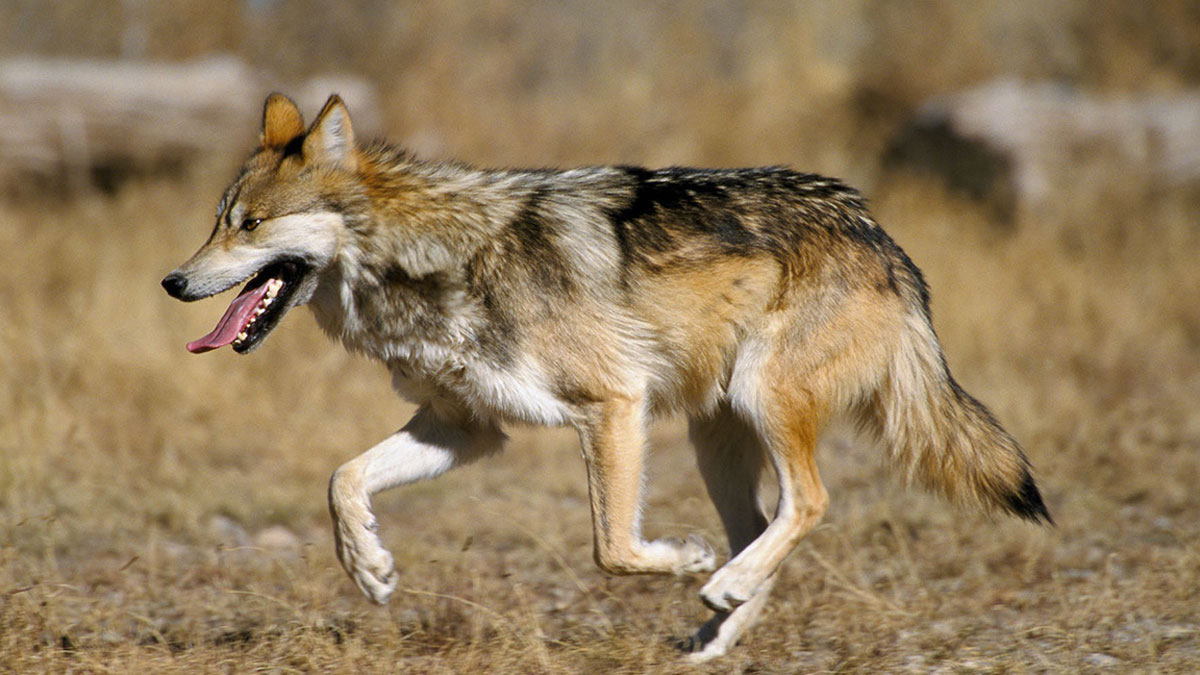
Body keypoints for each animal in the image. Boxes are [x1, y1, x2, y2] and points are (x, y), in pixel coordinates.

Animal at [162, 93, 1051, 662]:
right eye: (216, 221)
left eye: (250, 225)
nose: (172, 281)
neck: (430, 260)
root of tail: (878, 233)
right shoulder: (466, 428)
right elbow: (342, 479)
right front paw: (370, 567)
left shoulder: (613, 405)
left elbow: (613, 548)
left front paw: (683, 559)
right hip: (715, 438)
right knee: (765, 526)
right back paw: (717, 627)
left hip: (759, 402)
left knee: (809, 503)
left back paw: (718, 581)